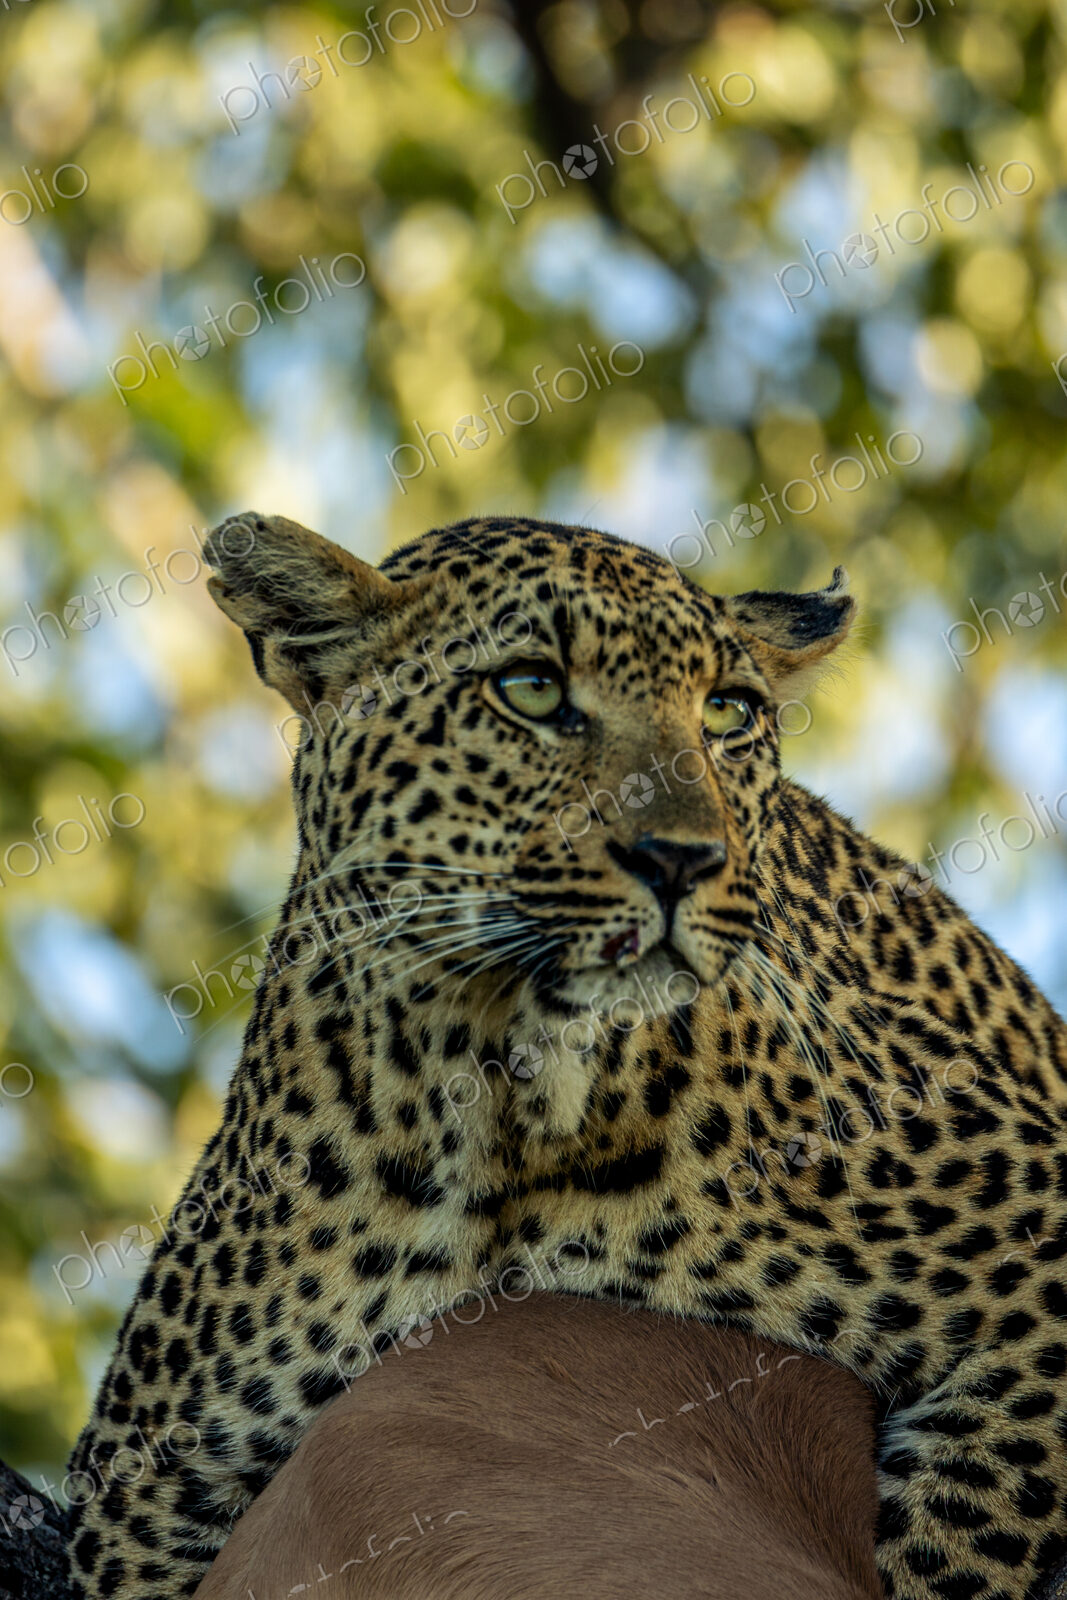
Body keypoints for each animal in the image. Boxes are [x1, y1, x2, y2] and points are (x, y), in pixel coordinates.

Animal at [67, 510, 1067, 1600]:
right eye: (532, 689)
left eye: (726, 713)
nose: (682, 859)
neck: (497, 1099)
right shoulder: (140, 1490)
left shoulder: (1029, 1251)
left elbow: (973, 1536)